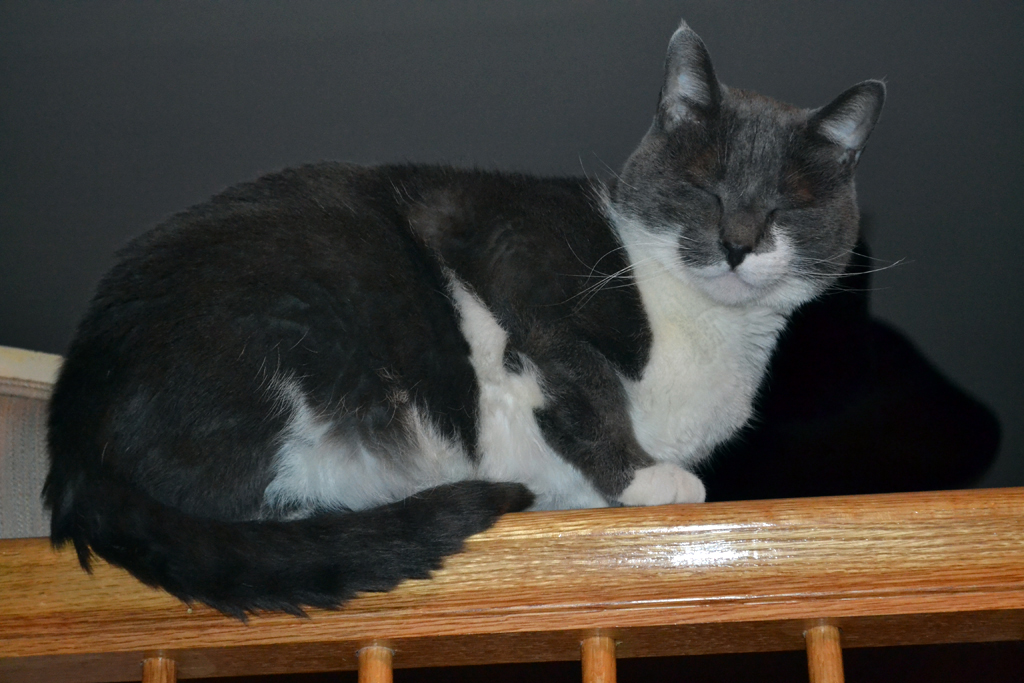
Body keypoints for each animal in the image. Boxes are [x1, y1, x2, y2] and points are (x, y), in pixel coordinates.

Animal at [44, 24, 884, 618]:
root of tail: (73, 417)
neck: (703, 325)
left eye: (787, 206)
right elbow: (581, 384)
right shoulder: (512, 256)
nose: (739, 243)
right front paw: (645, 476)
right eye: (705, 188)